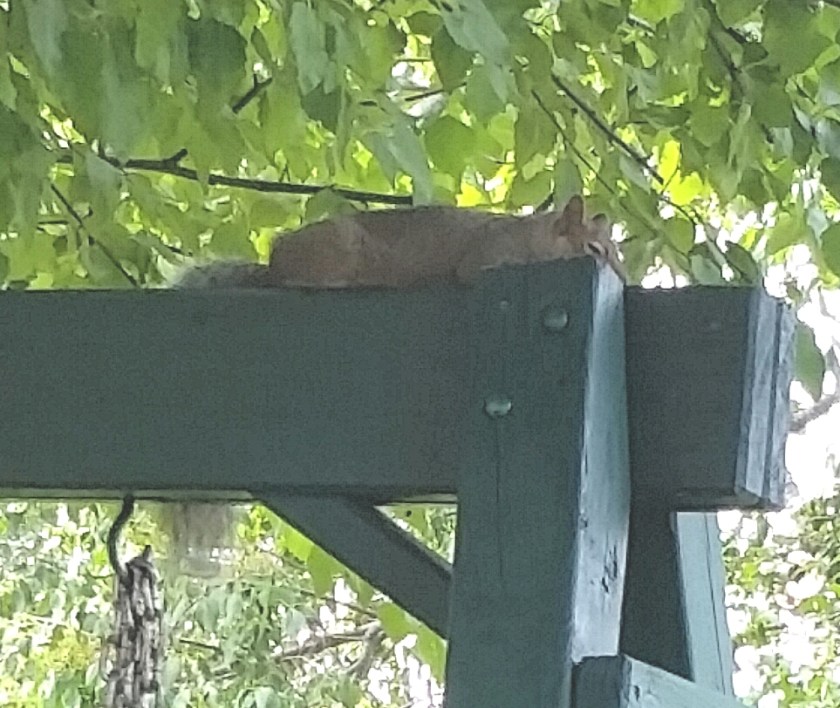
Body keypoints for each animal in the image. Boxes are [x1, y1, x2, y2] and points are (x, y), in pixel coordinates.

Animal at [167, 195, 624, 575]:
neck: (533, 236)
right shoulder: (488, 256)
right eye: (593, 250)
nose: (624, 282)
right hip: (337, 249)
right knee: (297, 282)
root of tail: (273, 261)